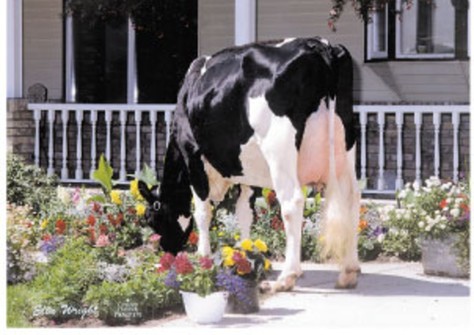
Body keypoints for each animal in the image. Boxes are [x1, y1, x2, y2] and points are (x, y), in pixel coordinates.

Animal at [139, 37, 362, 292]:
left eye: (151, 218)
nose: (166, 253)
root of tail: (319, 45)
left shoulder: (193, 156)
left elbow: (202, 212)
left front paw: (203, 257)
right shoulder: (247, 172)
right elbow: (244, 212)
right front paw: (244, 256)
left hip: (279, 149)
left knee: (292, 202)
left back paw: (286, 277)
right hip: (346, 145)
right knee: (352, 197)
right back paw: (349, 272)